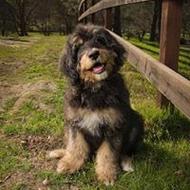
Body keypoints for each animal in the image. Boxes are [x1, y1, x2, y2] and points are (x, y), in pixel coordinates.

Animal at [48, 24, 143, 186]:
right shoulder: (74, 122)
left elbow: (108, 152)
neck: (94, 88)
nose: (93, 54)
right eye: (78, 46)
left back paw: (126, 163)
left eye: (100, 40)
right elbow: (76, 145)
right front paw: (71, 163)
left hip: (136, 122)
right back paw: (61, 153)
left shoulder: (114, 125)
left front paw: (107, 174)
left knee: (127, 150)